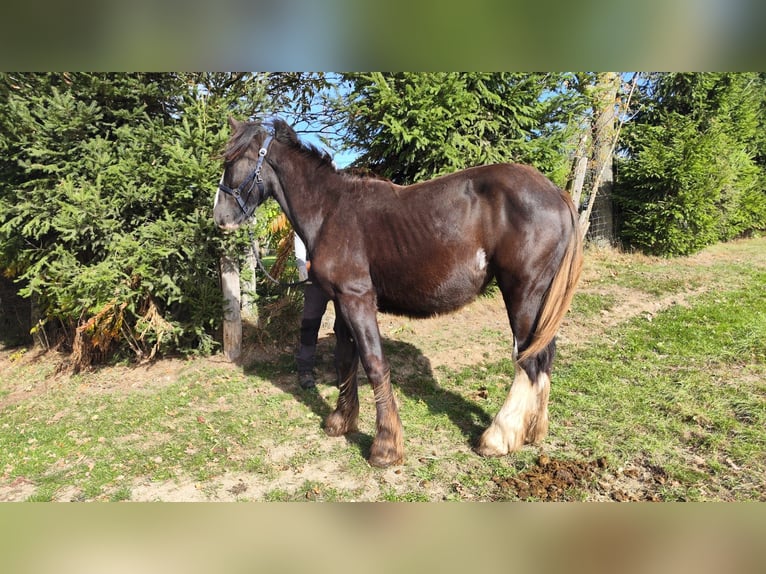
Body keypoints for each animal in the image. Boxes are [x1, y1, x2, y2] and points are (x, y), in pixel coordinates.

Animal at [213, 117, 583, 468]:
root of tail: (556, 193)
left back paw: (498, 437)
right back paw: (533, 431)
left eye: (233, 160)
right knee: (545, 356)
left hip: (524, 294)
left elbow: (375, 363)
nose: (220, 218)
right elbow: (345, 359)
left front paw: (385, 447)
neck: (330, 210)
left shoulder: (357, 298)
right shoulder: (342, 301)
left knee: (528, 360)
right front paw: (341, 421)